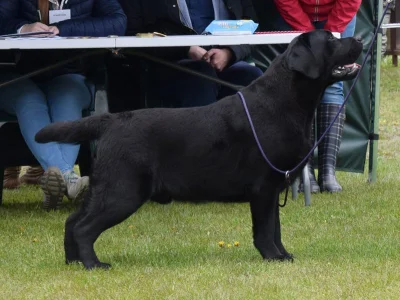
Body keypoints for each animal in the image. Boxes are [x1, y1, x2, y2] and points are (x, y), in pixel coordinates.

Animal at [36, 30, 364, 270]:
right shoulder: (264, 187)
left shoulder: (274, 185)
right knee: (83, 227)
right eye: (332, 40)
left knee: (71, 221)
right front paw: (272, 257)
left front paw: (283, 255)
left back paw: (73, 262)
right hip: (123, 191)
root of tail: (112, 119)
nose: (359, 39)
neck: (285, 102)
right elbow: (265, 229)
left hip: (105, 187)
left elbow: (276, 228)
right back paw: (94, 264)